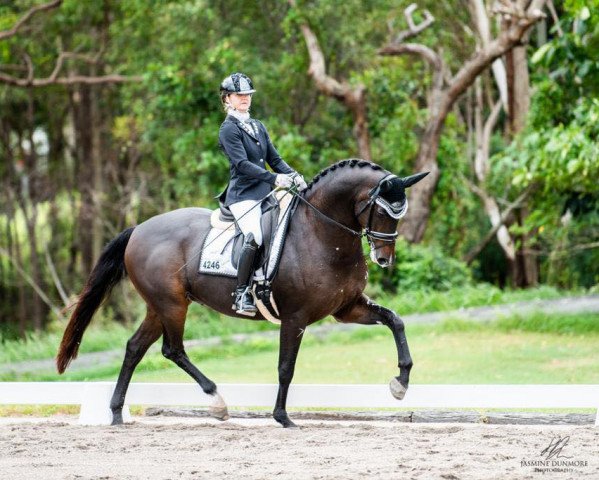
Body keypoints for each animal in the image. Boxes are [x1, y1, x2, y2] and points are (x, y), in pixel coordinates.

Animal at [56, 159, 428, 430]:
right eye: (382, 210)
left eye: (400, 213)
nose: (384, 258)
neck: (320, 233)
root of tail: (139, 229)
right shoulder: (295, 317)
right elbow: (286, 367)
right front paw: (283, 417)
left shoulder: (347, 308)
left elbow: (395, 321)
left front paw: (400, 383)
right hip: (172, 305)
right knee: (172, 349)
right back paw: (217, 403)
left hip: (159, 306)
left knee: (135, 347)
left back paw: (117, 414)